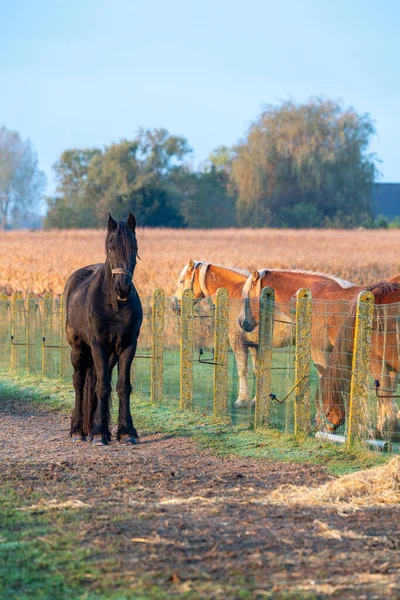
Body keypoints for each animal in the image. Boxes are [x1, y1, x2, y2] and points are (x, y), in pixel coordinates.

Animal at [63, 213, 142, 442]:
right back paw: (78, 430)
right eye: (110, 246)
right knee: (79, 381)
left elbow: (121, 387)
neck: (114, 306)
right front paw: (99, 434)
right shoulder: (98, 346)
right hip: (78, 349)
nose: (123, 288)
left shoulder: (128, 347)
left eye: (134, 247)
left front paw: (126, 432)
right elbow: (102, 387)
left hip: (111, 355)